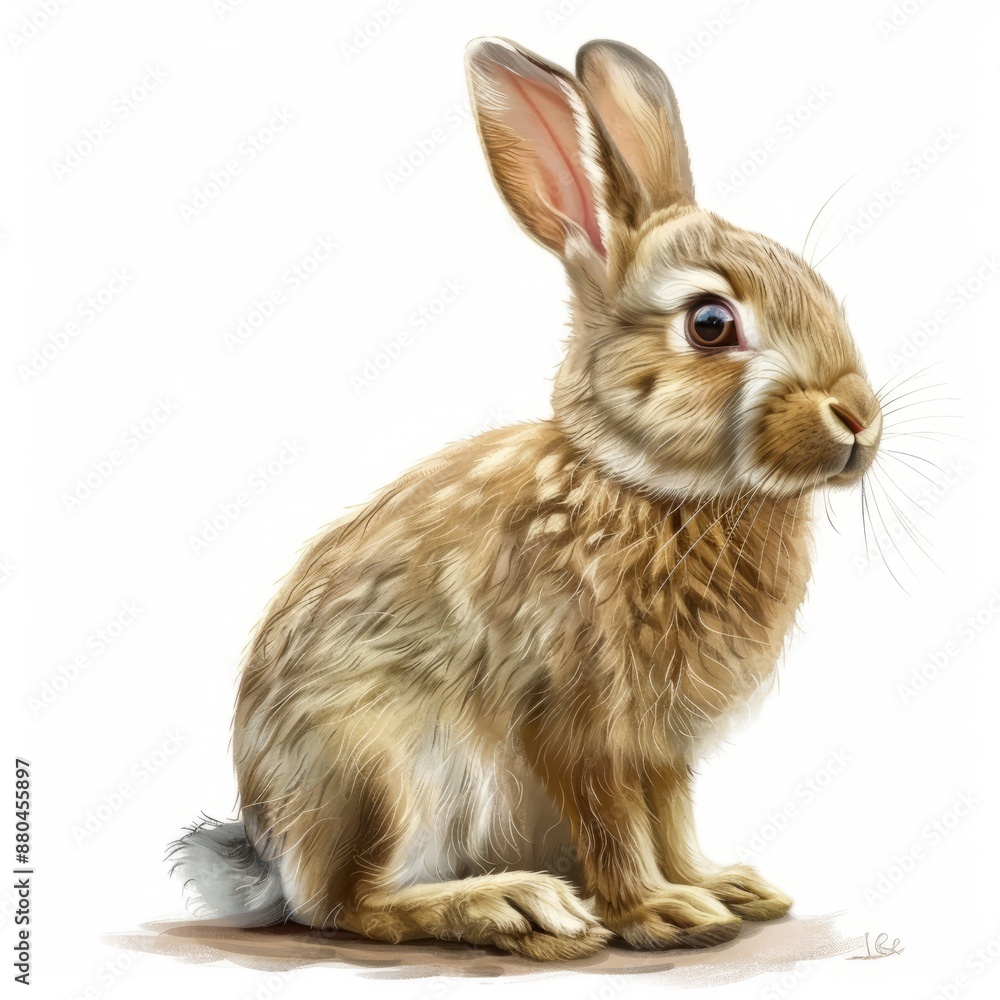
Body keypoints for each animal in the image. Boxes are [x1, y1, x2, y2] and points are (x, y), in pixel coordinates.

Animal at [169, 37, 882, 961]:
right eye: (710, 324)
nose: (860, 417)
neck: (647, 486)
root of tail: (271, 853)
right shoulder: (576, 716)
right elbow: (614, 821)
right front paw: (660, 912)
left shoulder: (662, 746)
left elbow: (671, 816)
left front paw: (719, 887)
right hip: (392, 771)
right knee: (352, 903)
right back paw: (515, 905)